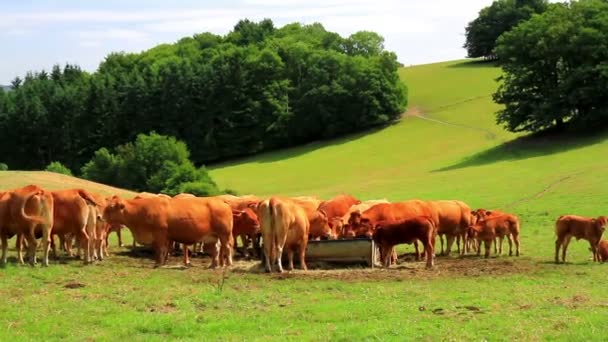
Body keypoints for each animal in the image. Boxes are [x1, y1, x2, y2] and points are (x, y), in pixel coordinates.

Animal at [102, 194, 233, 268]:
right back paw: (213, 265)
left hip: (224, 234)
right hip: (214, 236)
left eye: (111, 207)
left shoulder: (159, 234)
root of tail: (221, 201)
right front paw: (163, 262)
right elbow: (164, 250)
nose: (99, 216)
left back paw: (228, 265)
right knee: (216, 249)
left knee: (227, 248)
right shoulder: (165, 237)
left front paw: (158, 264)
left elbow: (160, 249)